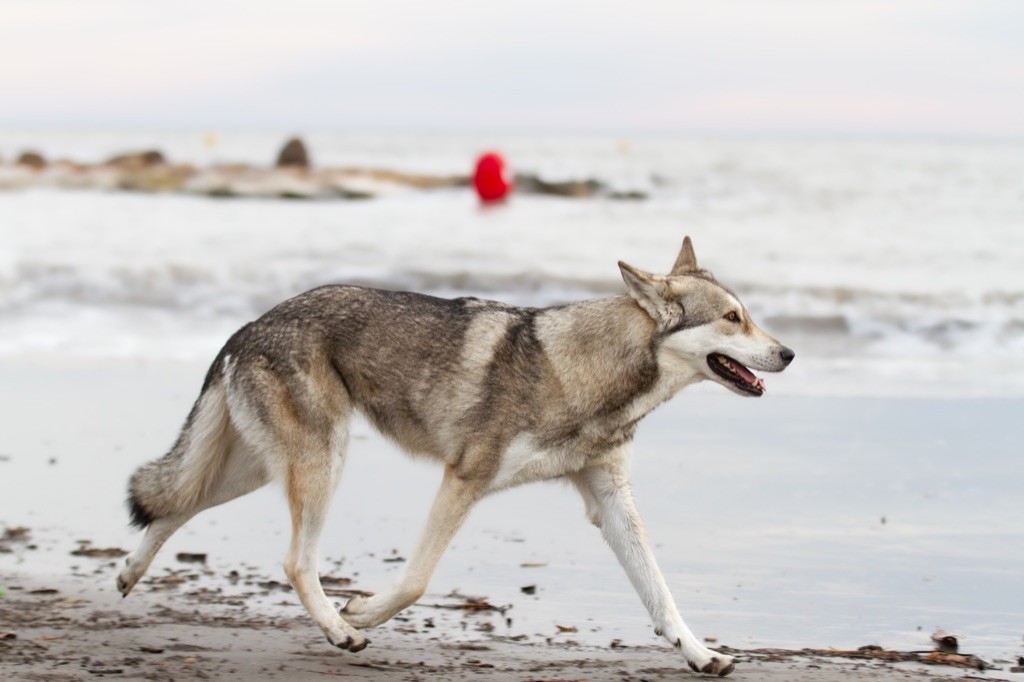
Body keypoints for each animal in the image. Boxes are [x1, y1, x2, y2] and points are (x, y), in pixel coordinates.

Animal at [117, 236, 790, 671]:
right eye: (733, 318)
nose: (787, 353)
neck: (588, 374)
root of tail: (250, 324)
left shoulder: (611, 503)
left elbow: (661, 592)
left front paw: (701, 654)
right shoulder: (463, 479)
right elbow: (416, 581)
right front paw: (362, 613)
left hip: (258, 469)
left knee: (176, 503)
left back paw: (128, 573)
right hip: (318, 465)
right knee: (292, 561)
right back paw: (339, 632)